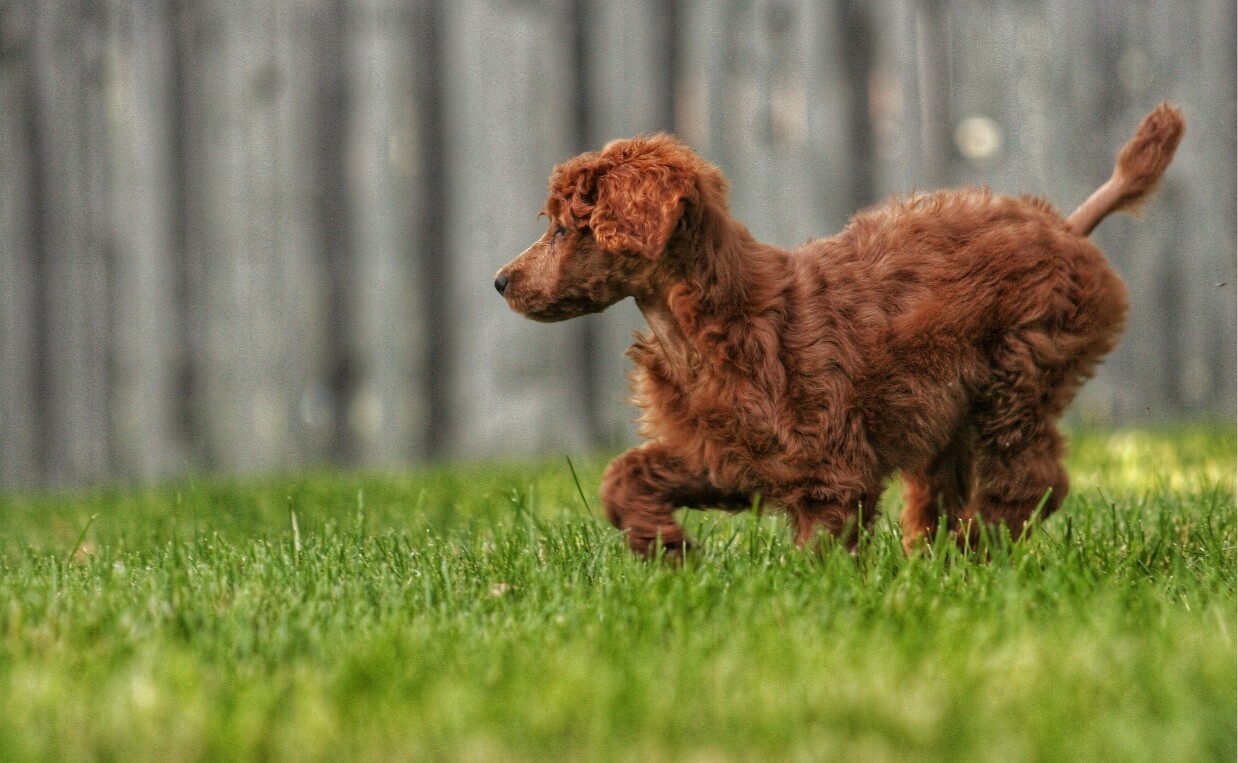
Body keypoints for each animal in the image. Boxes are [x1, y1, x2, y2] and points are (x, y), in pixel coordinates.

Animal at [490, 102, 1178, 554]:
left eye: (563, 228)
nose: (500, 282)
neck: (698, 324)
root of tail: (1066, 227)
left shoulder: (826, 462)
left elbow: (823, 543)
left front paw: (810, 599)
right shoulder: (726, 452)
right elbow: (624, 477)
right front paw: (665, 548)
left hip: (1020, 376)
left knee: (1030, 480)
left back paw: (984, 553)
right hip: (949, 417)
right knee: (947, 492)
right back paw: (939, 564)